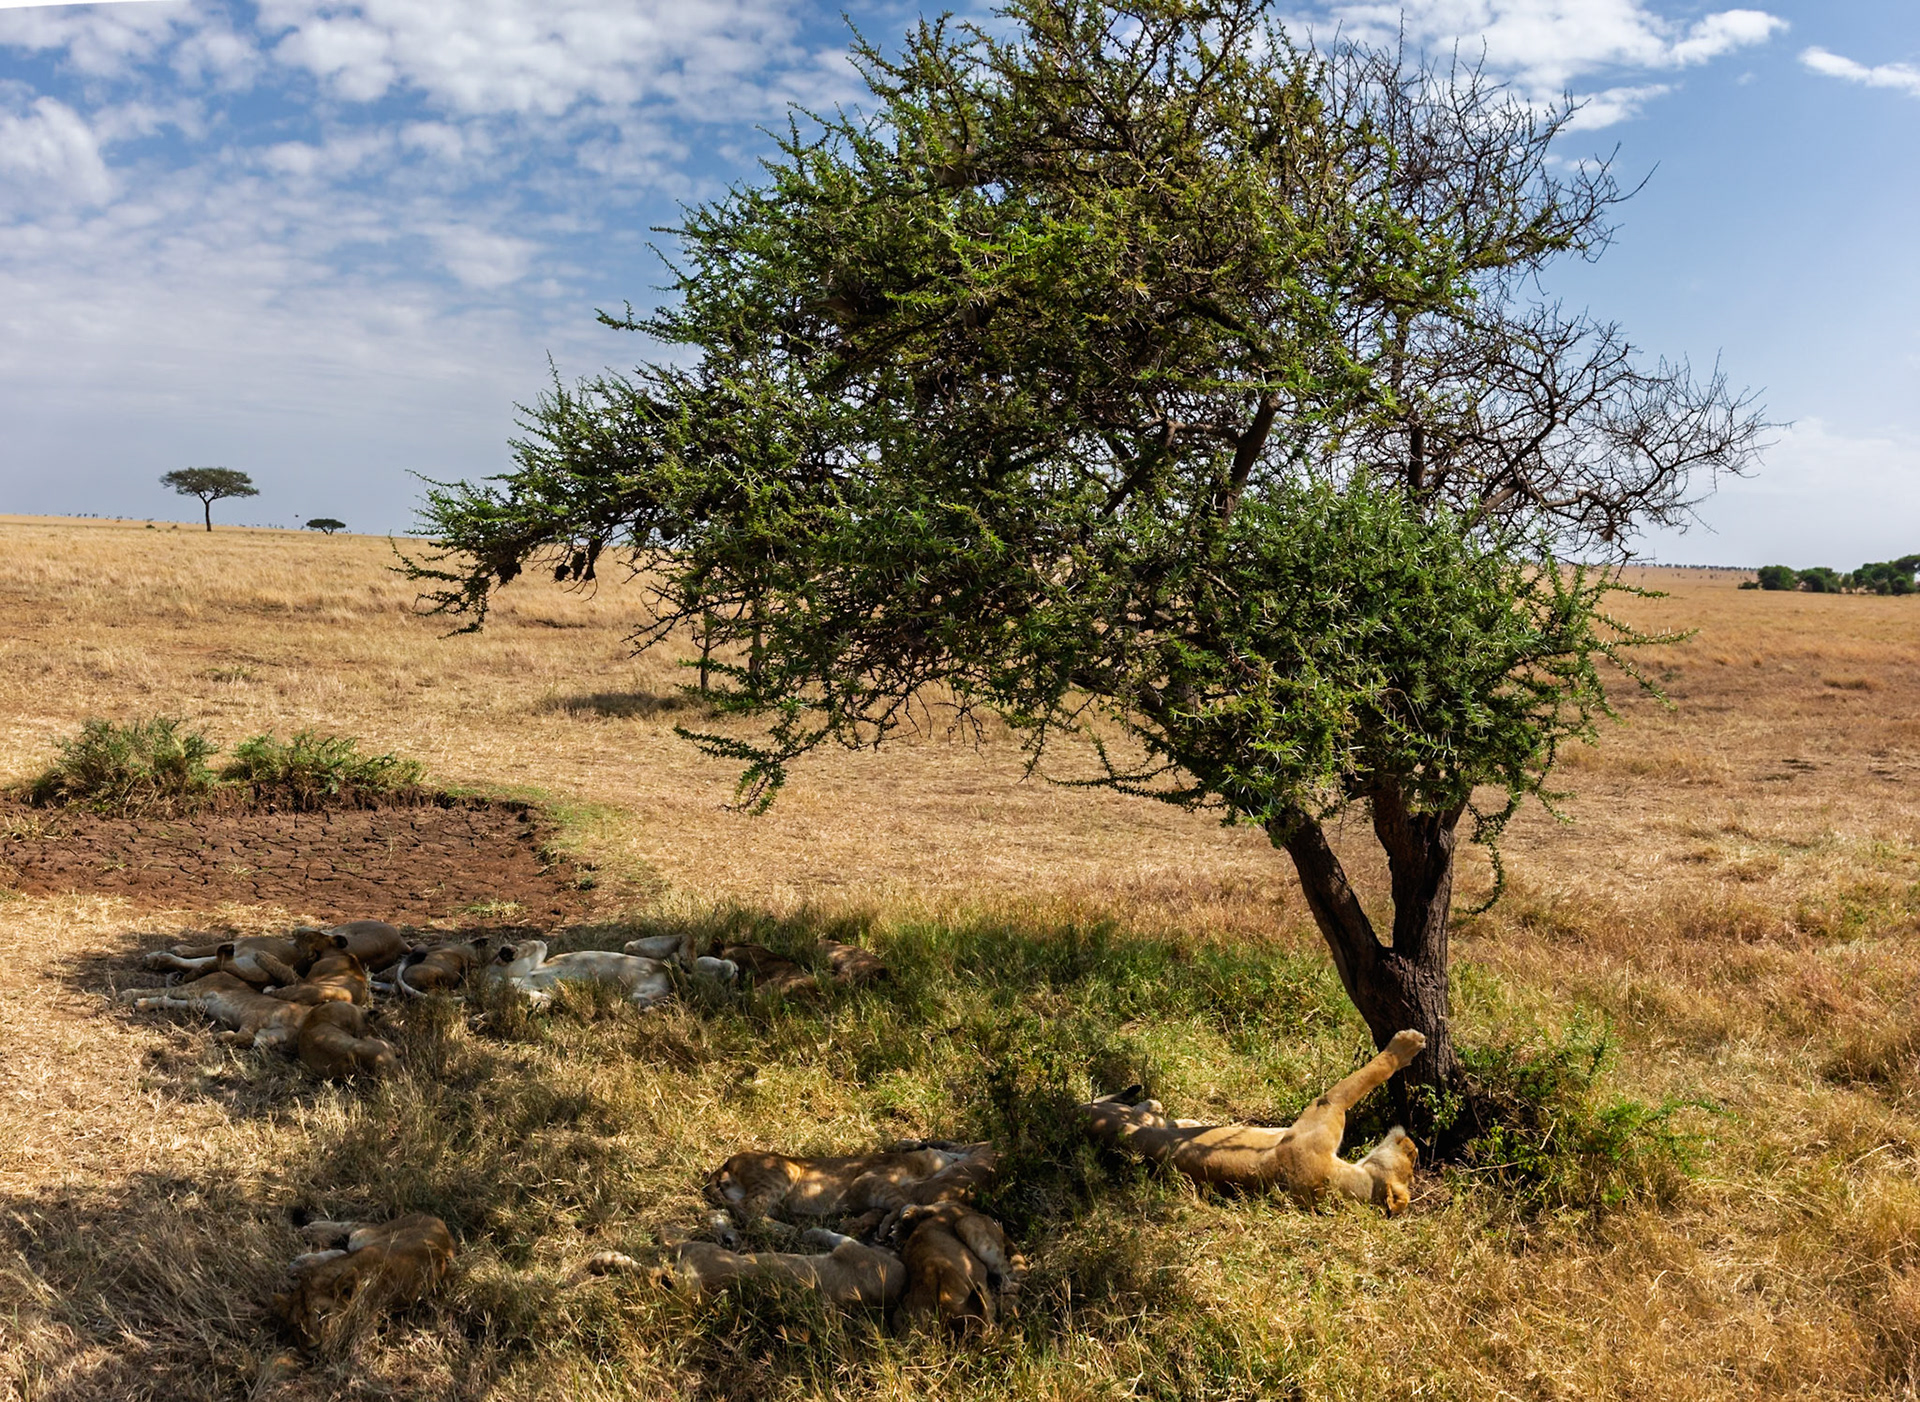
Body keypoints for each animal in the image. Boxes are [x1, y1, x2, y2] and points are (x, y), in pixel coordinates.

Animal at [271, 1213, 455, 1344]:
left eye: (322, 1315)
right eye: (297, 1325)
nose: (314, 1346)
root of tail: (440, 1222)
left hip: (365, 1236)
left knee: (357, 1228)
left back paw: (311, 1234)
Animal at [706, 1141, 997, 1222]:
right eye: (952, 1152)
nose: (962, 1156)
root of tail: (725, 1162)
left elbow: (896, 1202)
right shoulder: (868, 1180)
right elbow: (902, 1200)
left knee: (747, 1209)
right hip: (783, 1171)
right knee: (750, 1209)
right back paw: (786, 1230)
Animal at [1078, 1029, 1427, 1215]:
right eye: (1412, 1160)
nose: (1414, 1143)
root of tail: (1078, 1119)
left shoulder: (1325, 1106)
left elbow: (1367, 1074)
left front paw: (1406, 1044)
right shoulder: (1328, 1106)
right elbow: (1367, 1075)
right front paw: (1407, 1044)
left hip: (1134, 1117)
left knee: (1148, 1107)